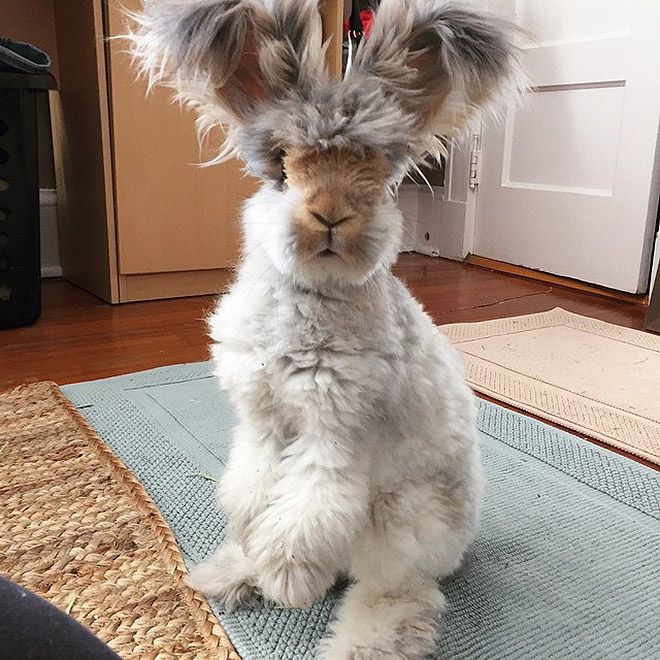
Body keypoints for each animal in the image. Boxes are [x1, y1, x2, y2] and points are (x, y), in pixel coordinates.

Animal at [129, 1, 520, 656]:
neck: (309, 291)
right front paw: (255, 552)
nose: (330, 215)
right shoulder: (263, 424)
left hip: (399, 522)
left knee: (397, 594)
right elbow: (252, 490)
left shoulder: (332, 430)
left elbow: (307, 510)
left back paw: (357, 640)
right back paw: (228, 576)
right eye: (283, 169)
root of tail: (459, 549)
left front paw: (287, 579)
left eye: (379, 175)